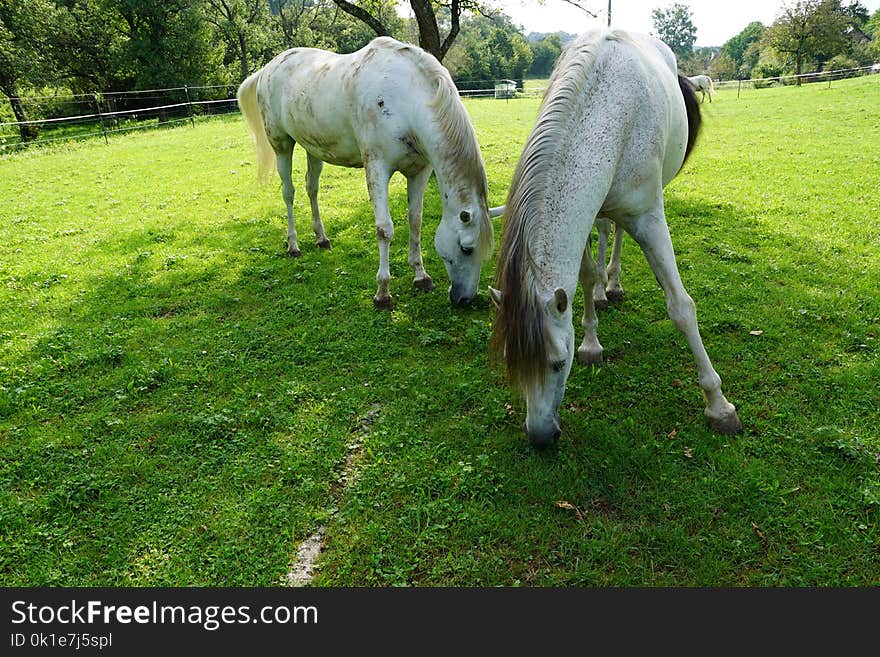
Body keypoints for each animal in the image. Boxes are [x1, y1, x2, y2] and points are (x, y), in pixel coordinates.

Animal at [235, 37, 496, 308]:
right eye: (466, 248)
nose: (465, 299)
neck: (406, 99)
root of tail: (268, 68)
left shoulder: (419, 172)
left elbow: (415, 221)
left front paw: (421, 276)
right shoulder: (377, 168)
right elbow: (384, 229)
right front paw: (383, 292)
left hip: (313, 148)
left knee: (312, 188)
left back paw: (322, 239)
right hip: (282, 145)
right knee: (289, 193)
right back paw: (293, 245)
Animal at [488, 32, 744, 452]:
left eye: (558, 363)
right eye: (513, 362)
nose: (540, 437)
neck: (609, 117)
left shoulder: (650, 218)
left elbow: (681, 307)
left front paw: (719, 406)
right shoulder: (585, 212)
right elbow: (585, 276)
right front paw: (591, 342)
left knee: (620, 236)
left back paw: (615, 284)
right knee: (608, 234)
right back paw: (604, 292)